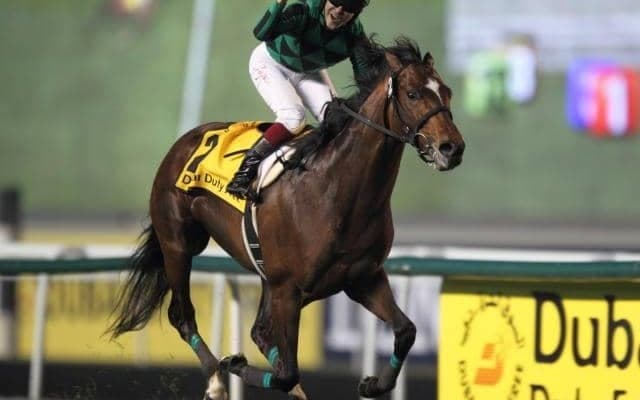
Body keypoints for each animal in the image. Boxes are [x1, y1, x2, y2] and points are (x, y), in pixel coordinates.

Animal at [107, 36, 465, 400]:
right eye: (413, 94)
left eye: (447, 92)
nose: (452, 148)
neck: (336, 191)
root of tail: (185, 140)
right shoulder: (288, 289)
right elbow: (286, 373)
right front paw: (233, 364)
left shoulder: (362, 279)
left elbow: (406, 331)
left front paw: (373, 382)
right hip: (179, 244)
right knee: (183, 315)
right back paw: (216, 380)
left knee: (260, 331)